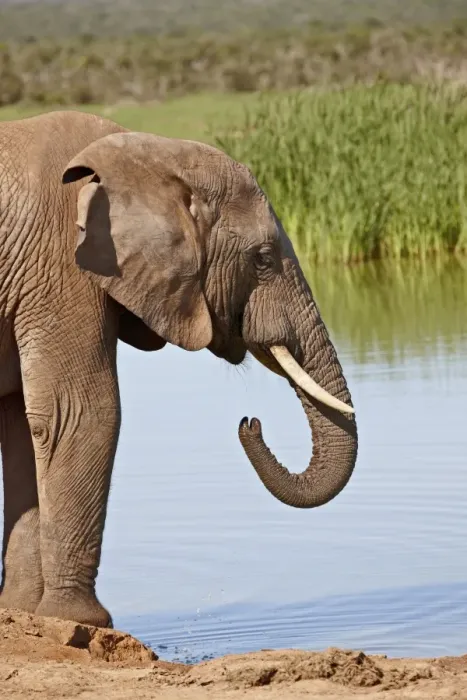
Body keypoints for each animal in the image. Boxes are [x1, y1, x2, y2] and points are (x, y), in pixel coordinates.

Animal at [0, 110, 357, 628]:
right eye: (263, 260)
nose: (250, 422)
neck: (149, 154)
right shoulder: (61, 267)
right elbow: (82, 413)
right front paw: (82, 622)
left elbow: (27, 427)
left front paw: (25, 614)